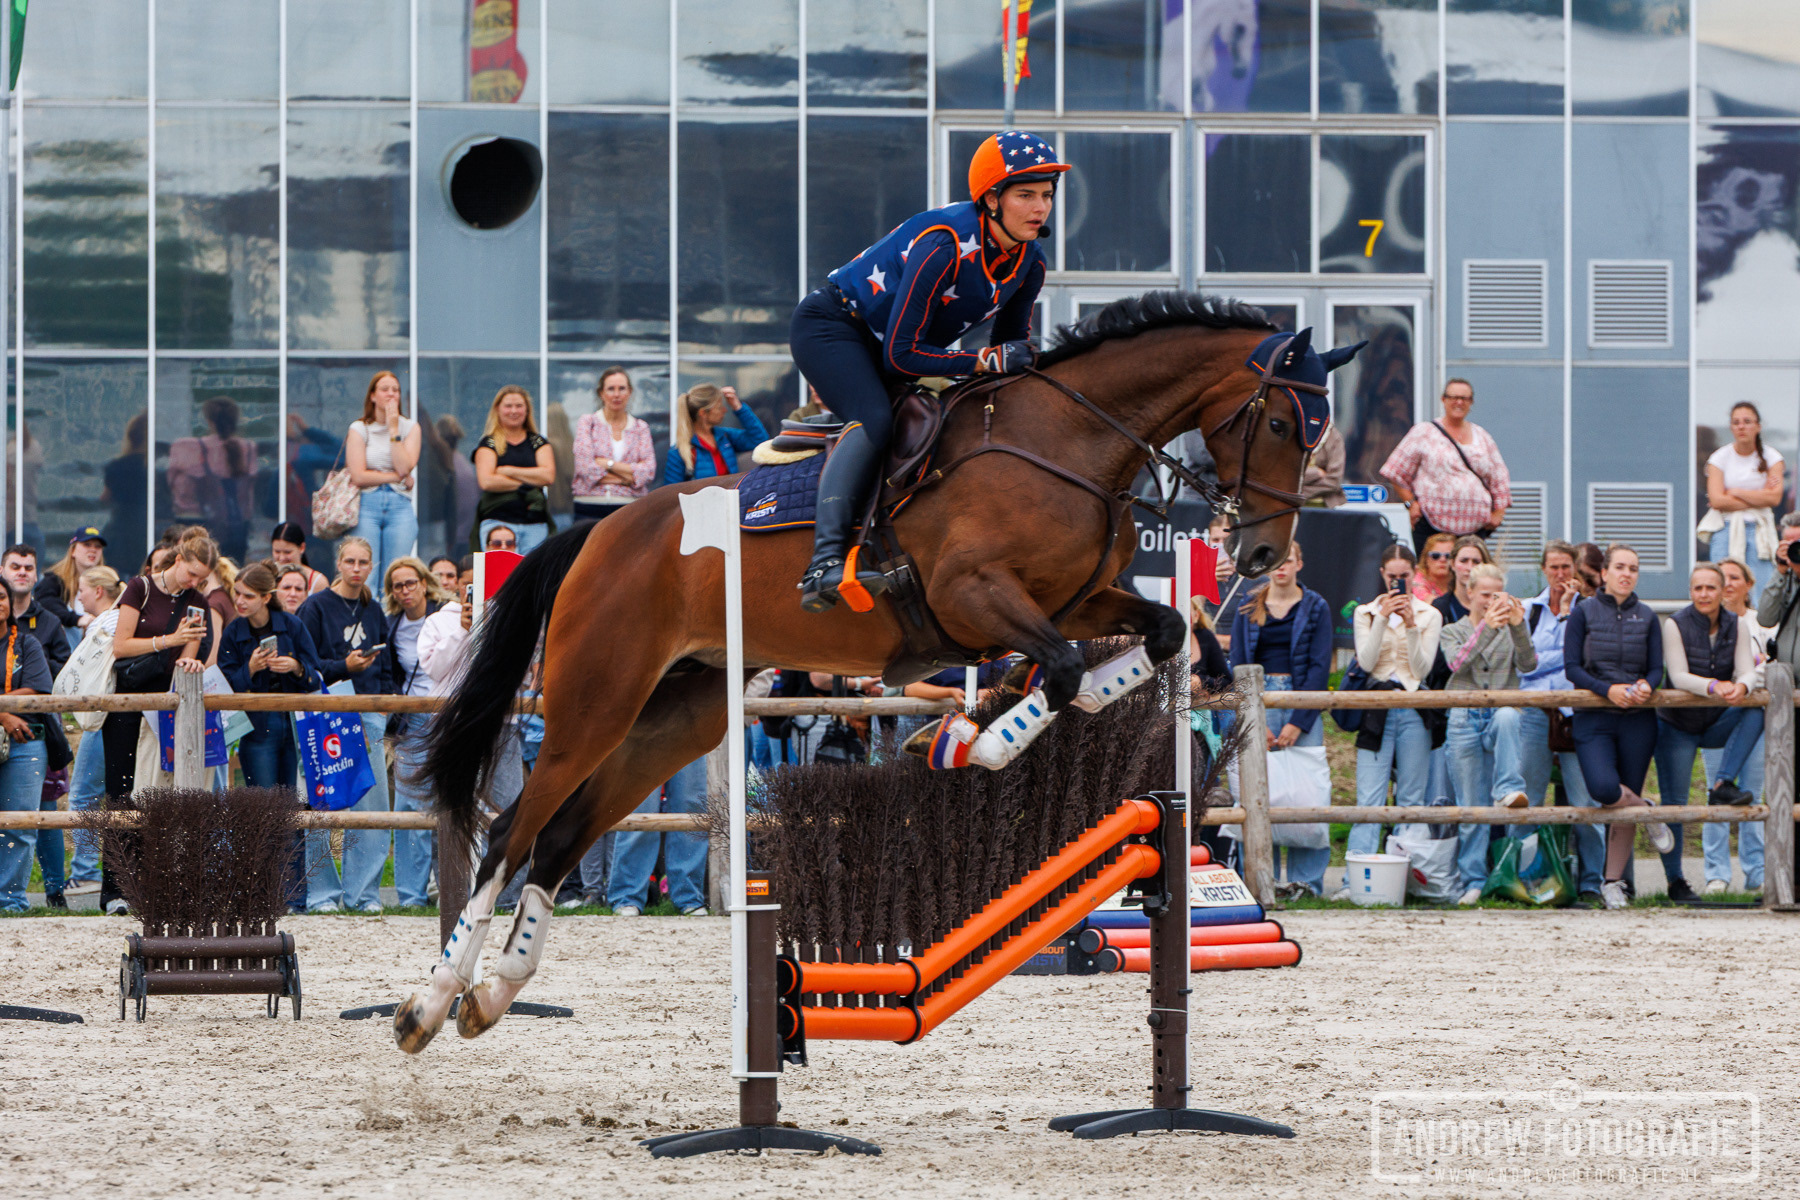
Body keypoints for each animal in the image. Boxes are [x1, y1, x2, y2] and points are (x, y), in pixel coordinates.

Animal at [393, 291, 1360, 1051]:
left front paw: (991, 721)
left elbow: (1151, 638)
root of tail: (598, 534)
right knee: (511, 830)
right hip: (598, 697)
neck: (1073, 440)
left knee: (560, 836)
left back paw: (492, 996)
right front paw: (970, 740)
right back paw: (428, 1004)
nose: (1264, 553)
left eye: (1318, 434)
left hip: (678, 715)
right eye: (1280, 423)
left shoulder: (1083, 598)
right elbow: (1052, 670)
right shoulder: (975, 595)